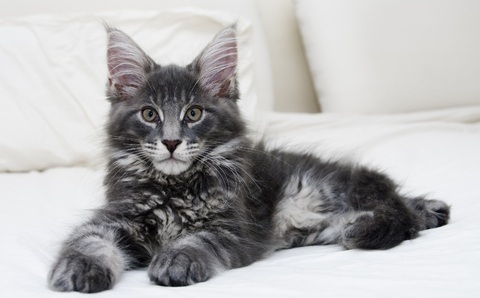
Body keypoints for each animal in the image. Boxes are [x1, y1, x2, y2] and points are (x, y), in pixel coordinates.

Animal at [47, 25, 448, 294]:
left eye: (194, 114)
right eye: (149, 114)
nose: (172, 141)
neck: (175, 188)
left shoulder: (236, 226)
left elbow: (199, 239)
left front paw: (177, 258)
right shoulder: (118, 215)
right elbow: (87, 239)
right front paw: (79, 268)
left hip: (322, 189)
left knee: (394, 207)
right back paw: (432, 209)